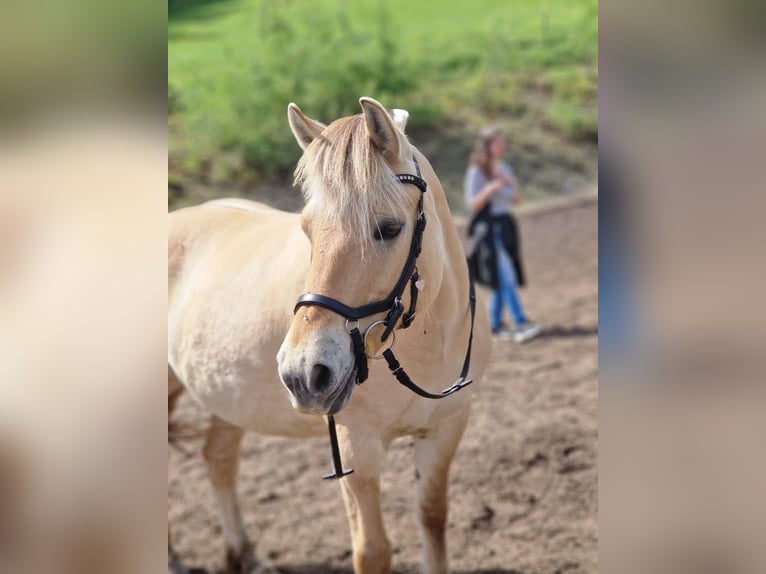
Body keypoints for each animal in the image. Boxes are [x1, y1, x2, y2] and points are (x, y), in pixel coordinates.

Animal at [168, 97, 492, 574]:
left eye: (389, 228)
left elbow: (433, 518)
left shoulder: (445, 430)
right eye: (308, 231)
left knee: (218, 459)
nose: (303, 373)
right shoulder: (357, 448)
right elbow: (372, 552)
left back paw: (245, 555)